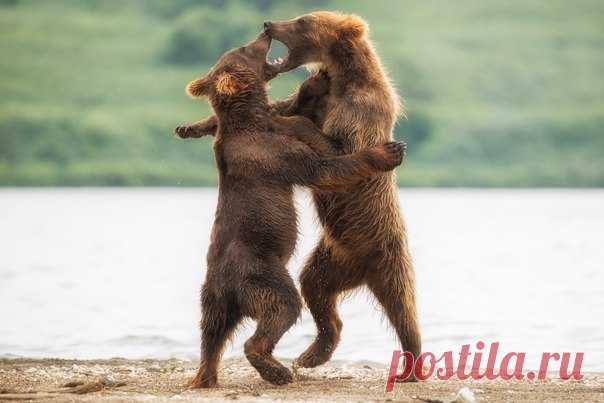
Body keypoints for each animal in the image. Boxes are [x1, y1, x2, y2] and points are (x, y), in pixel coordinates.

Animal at [180, 32, 406, 388]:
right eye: (246, 48)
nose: (263, 32)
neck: (249, 119)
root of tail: (228, 285)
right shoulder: (273, 153)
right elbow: (325, 167)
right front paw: (388, 152)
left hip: (212, 294)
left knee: (211, 332)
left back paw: (206, 375)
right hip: (261, 274)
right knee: (282, 307)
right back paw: (276, 368)